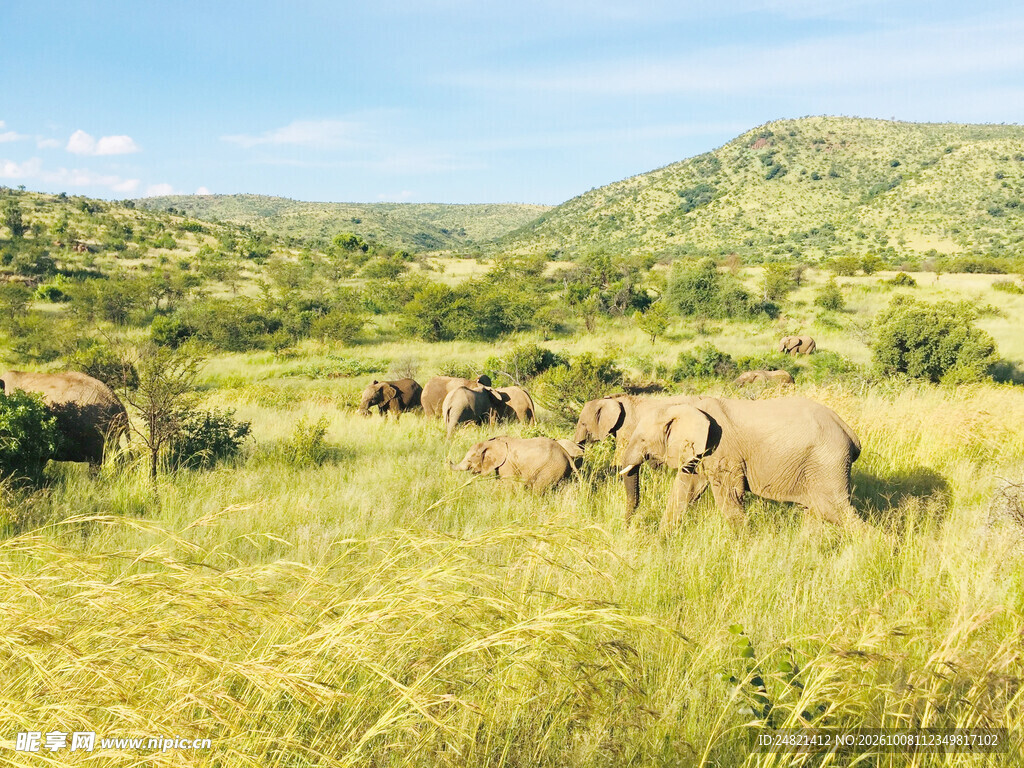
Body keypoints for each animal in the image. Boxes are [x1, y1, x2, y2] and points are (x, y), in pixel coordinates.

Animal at [450, 436, 579, 492]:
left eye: (470, 460)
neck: (490, 442)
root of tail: (566, 453)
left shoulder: (507, 464)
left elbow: (510, 483)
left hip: (551, 468)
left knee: (539, 488)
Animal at [616, 395, 863, 531]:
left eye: (642, 440)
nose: (627, 527)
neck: (686, 406)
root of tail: (851, 434)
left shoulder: (722, 451)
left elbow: (730, 496)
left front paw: (745, 546)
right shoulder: (700, 453)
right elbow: (684, 491)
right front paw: (661, 543)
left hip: (827, 462)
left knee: (837, 511)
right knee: (815, 511)